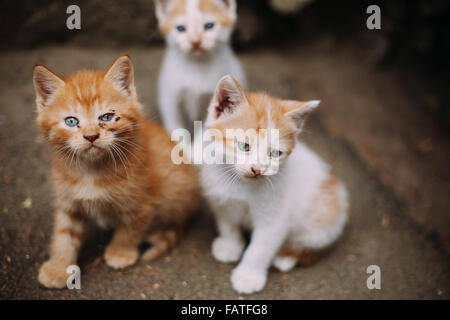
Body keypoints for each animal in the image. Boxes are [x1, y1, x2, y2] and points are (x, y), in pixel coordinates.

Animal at [33, 53, 199, 288]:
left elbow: (130, 228)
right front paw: (58, 267)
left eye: (106, 117)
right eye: (71, 121)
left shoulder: (142, 202)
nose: (91, 136)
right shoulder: (68, 201)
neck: (92, 171)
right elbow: (64, 233)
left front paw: (120, 253)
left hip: (177, 188)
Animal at [155, 0, 246, 132]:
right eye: (180, 28)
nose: (195, 42)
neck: (197, 66)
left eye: (209, 26)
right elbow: (176, 127)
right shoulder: (170, 97)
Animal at [199, 75, 350, 296]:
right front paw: (230, 246)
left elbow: (261, 247)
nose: (257, 169)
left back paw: (285, 257)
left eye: (275, 153)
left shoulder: (275, 218)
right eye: (244, 146)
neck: (239, 185)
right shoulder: (220, 199)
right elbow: (227, 224)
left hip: (325, 220)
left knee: (312, 245)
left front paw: (248, 277)